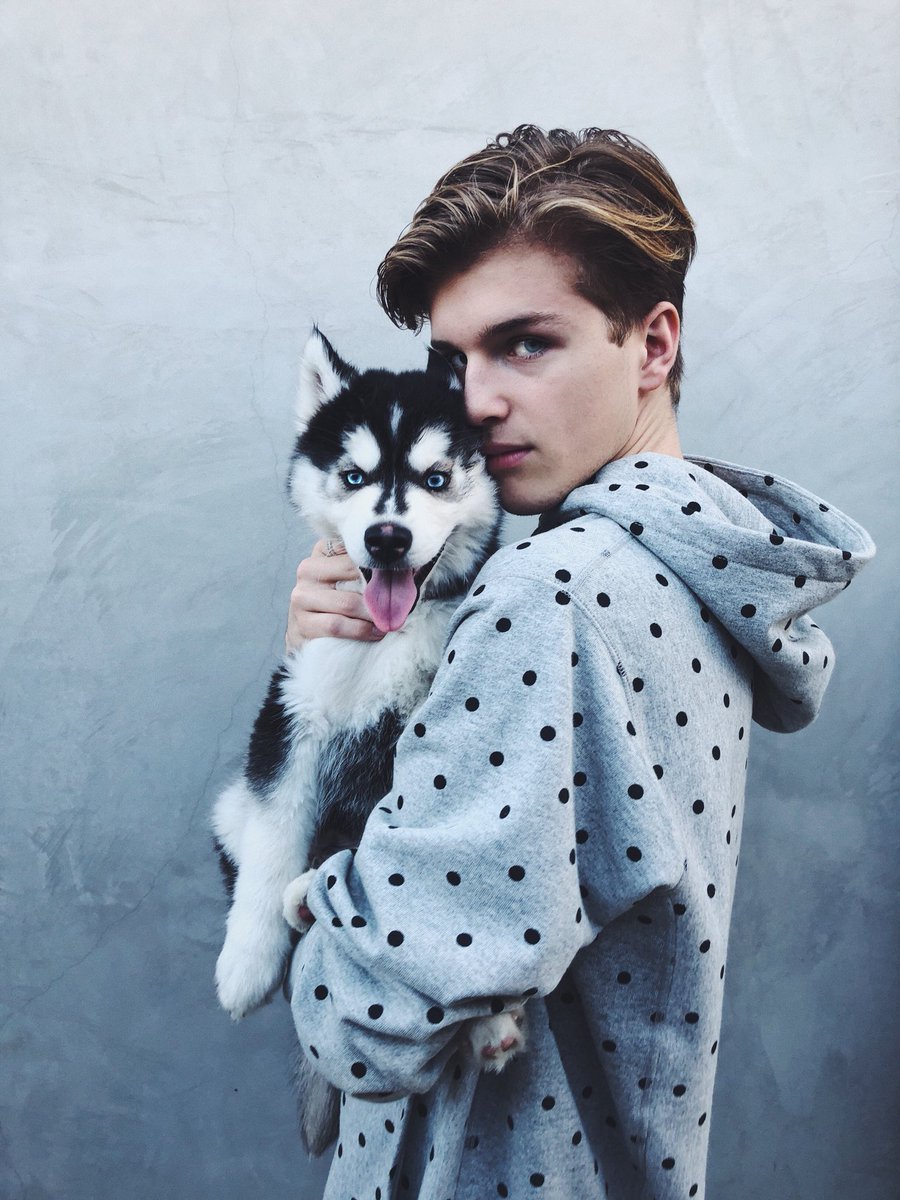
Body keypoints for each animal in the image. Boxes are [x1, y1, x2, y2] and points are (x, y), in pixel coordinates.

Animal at [213, 328, 525, 1152]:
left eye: (436, 478)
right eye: (353, 477)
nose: (387, 536)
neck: (391, 636)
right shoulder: (294, 711)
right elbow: (275, 839)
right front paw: (246, 961)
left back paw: (490, 1027)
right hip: (228, 809)